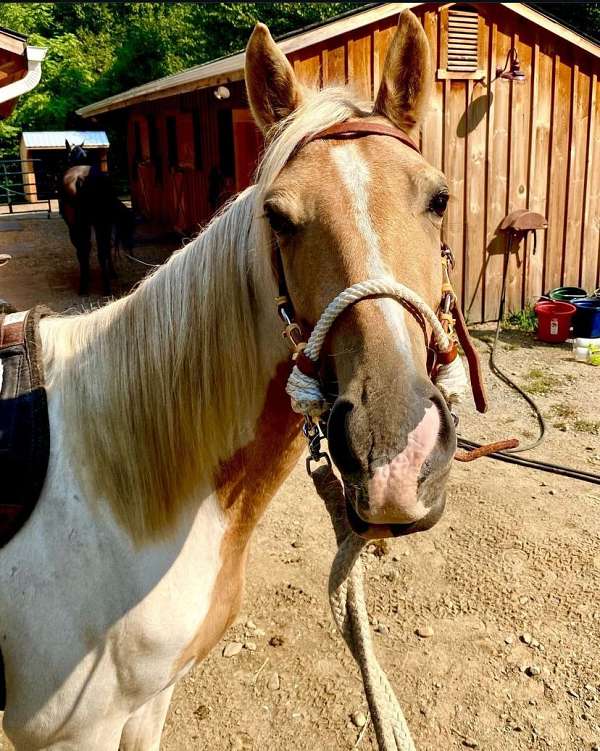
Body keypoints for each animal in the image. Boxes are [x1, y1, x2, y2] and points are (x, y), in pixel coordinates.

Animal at [58, 140, 134, 296]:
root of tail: (79, 179)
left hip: (80, 226)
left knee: (85, 250)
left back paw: (86, 284)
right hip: (96, 224)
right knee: (97, 251)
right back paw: (102, 286)